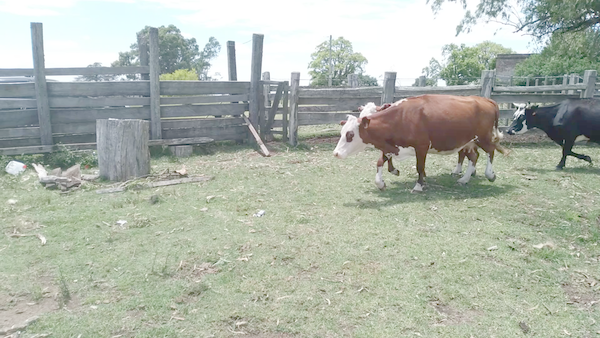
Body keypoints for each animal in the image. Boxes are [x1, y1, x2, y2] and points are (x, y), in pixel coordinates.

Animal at [336, 95, 508, 191]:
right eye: (342, 132)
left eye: (350, 134)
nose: (336, 153)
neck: (402, 117)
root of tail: (487, 100)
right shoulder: (392, 146)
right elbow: (379, 162)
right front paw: (381, 183)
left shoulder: (422, 147)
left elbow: (420, 167)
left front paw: (419, 185)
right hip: (468, 142)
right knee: (474, 157)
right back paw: (464, 178)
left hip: (482, 138)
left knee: (490, 151)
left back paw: (489, 174)